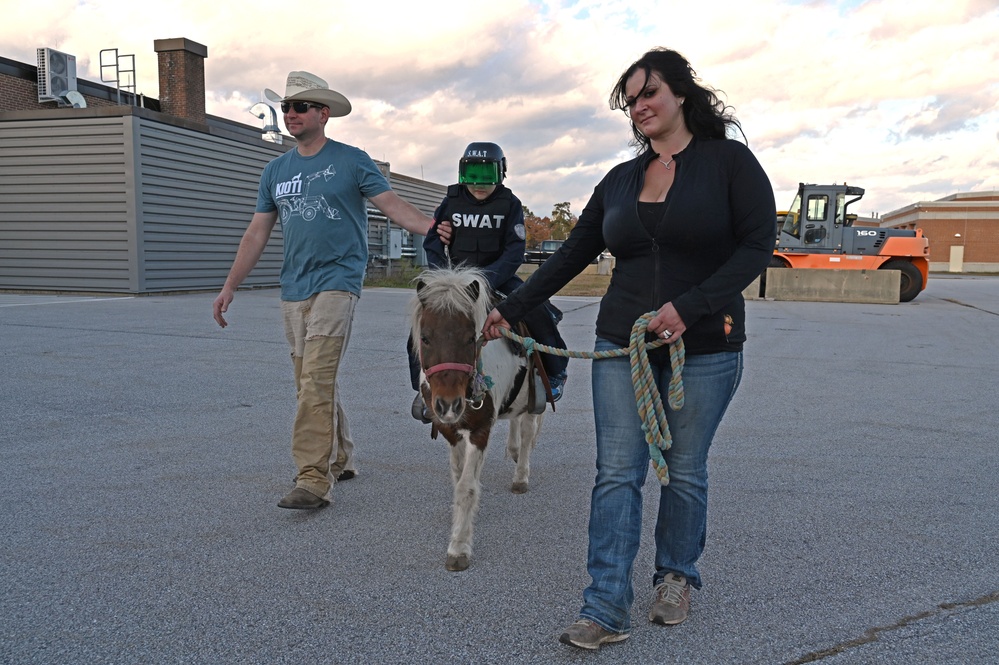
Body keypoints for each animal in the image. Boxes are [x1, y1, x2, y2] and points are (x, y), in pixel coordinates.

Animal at [410, 268, 544, 568]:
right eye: (425, 338)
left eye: (470, 338)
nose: (448, 405)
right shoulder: (450, 432)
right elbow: (458, 476)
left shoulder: (480, 432)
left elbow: (466, 487)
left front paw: (458, 548)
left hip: (533, 401)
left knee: (527, 432)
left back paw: (521, 476)